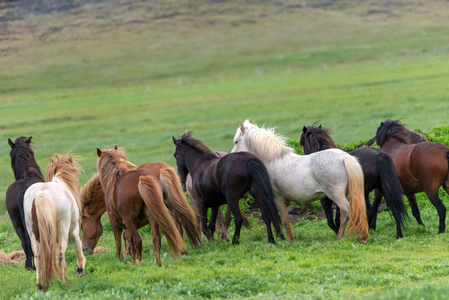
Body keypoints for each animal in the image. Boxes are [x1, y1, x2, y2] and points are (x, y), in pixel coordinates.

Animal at [22, 154, 86, 290]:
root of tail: (42, 193)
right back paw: (63, 281)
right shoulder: (74, 233)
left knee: (38, 256)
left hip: (33, 233)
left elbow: (53, 256)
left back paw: (40, 284)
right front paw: (80, 269)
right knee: (61, 253)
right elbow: (78, 249)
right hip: (63, 229)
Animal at [231, 119, 368, 244]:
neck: (273, 160)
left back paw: (352, 238)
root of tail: (344, 158)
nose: (231, 156)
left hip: (336, 196)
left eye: (236, 141)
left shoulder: (277, 198)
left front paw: (290, 240)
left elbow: (284, 220)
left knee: (349, 213)